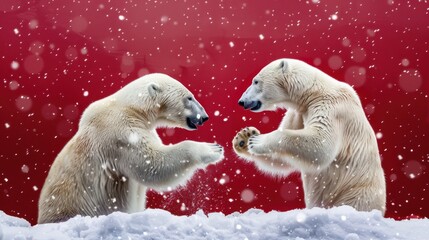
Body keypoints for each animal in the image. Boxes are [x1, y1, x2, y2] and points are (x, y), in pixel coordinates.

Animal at [37, 73, 224, 223]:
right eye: (189, 98)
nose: (205, 117)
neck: (130, 107)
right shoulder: (120, 133)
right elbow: (152, 164)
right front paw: (212, 149)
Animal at [232, 59, 386, 215]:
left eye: (256, 81)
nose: (241, 101)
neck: (313, 92)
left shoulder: (332, 108)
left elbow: (321, 144)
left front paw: (256, 141)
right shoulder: (299, 113)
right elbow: (283, 159)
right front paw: (244, 137)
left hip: (357, 193)